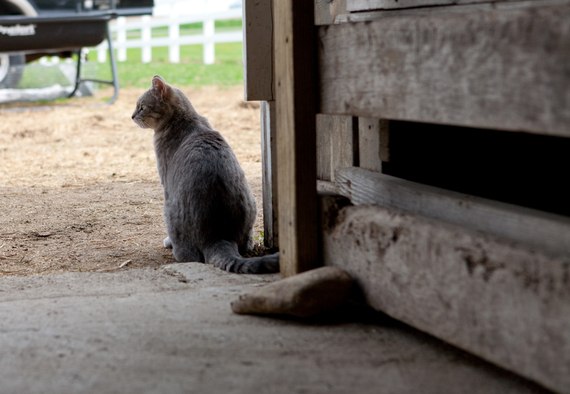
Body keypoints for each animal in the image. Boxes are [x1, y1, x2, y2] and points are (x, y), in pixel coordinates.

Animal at [129, 76, 280, 274]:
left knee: (187, 254)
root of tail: (220, 236)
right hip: (251, 203)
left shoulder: (165, 182)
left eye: (142, 106)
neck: (185, 119)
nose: (132, 116)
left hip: (169, 208)